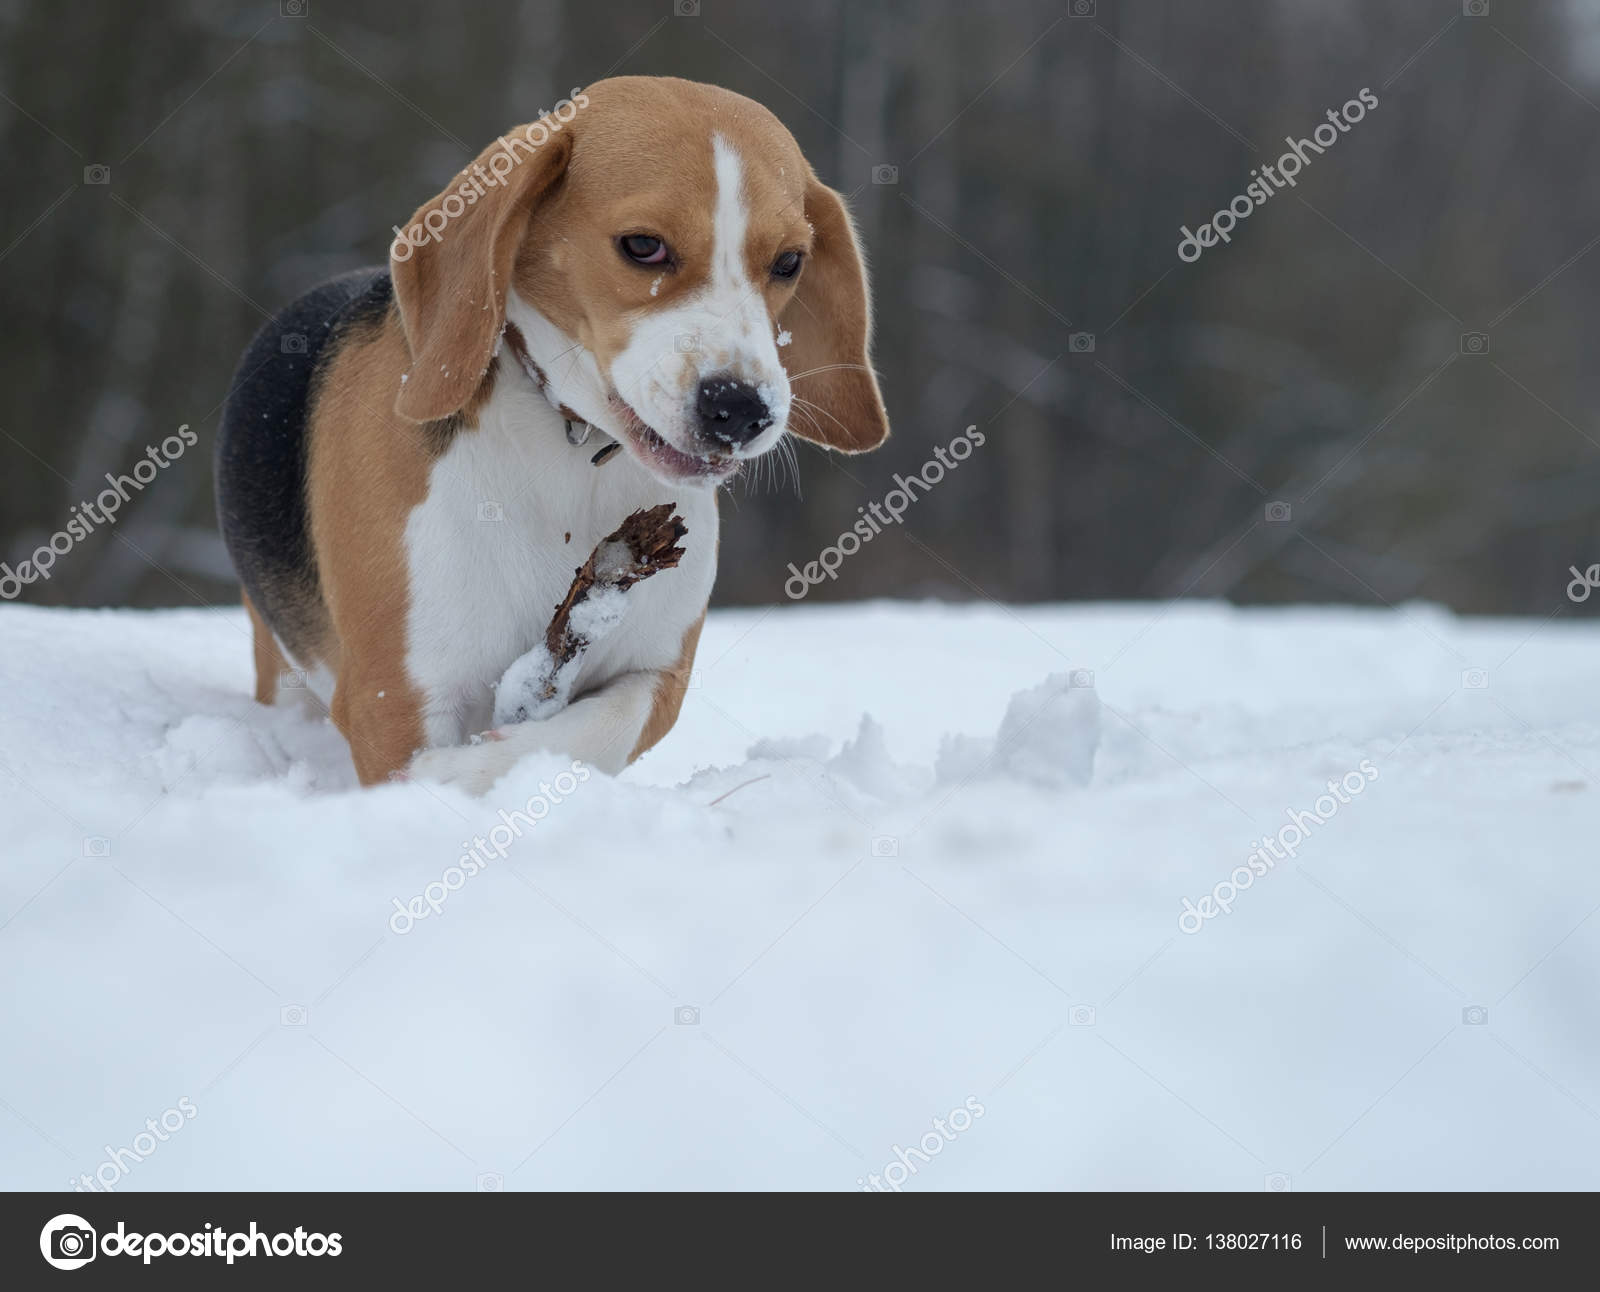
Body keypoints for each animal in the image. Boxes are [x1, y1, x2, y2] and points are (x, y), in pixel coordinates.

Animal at [212, 80, 889, 793]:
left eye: (789, 262)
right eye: (642, 246)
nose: (741, 409)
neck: (574, 449)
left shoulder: (659, 671)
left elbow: (599, 728)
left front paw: (464, 769)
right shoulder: (391, 697)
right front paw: (439, 778)